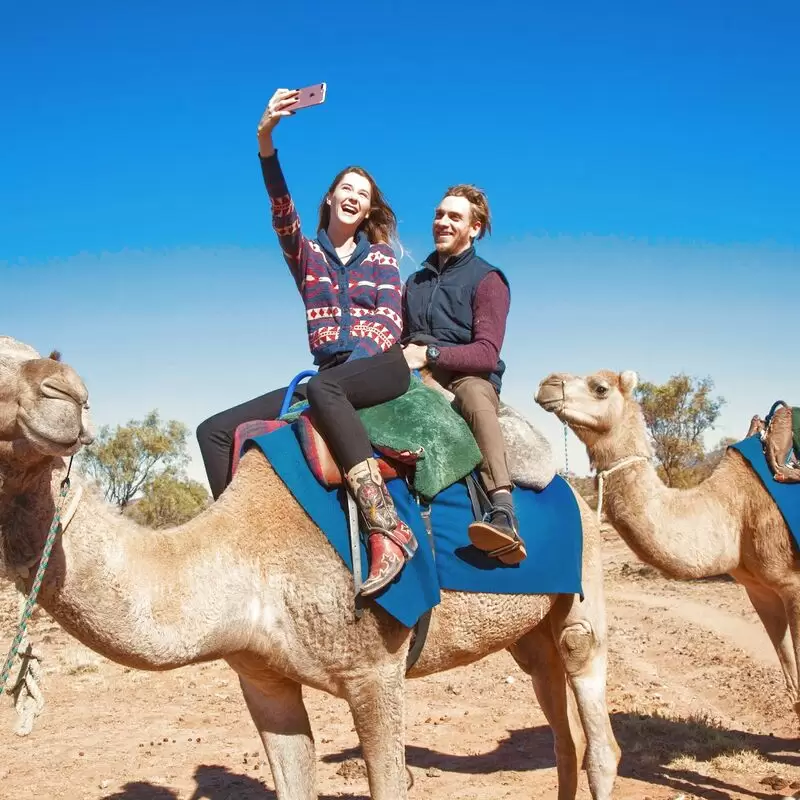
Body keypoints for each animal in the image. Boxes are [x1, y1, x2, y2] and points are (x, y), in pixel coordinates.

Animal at [0, 338, 620, 800]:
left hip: (583, 583)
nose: (65, 390)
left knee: (594, 714)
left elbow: (389, 783)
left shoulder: (376, 671)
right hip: (525, 632)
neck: (245, 555)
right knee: (560, 724)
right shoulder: (261, 679)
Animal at [536, 368, 800, 724]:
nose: (547, 384)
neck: (733, 506)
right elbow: (792, 680)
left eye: (600, 388)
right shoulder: (760, 589)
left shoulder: (792, 582)